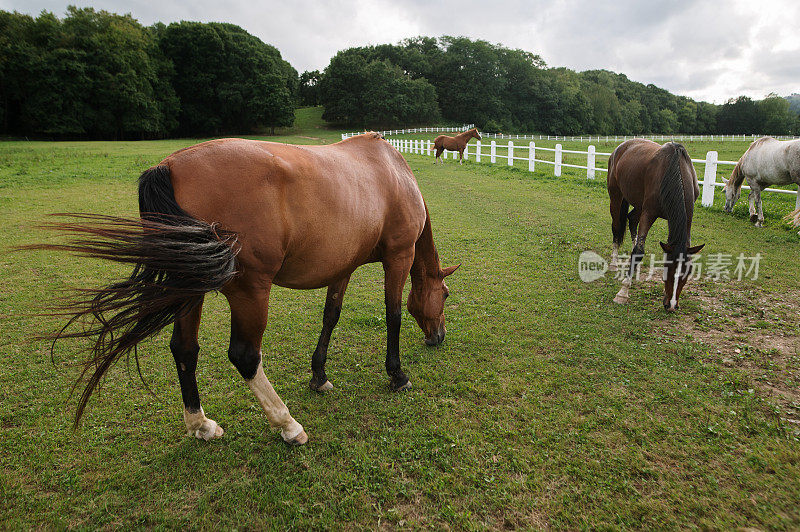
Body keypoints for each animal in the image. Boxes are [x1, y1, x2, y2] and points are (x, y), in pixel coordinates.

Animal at [28, 133, 460, 444]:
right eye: (445, 295)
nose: (438, 337)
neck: (392, 173)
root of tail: (169, 165)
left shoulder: (343, 266)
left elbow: (331, 315)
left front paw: (319, 375)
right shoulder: (398, 257)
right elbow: (392, 315)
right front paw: (397, 374)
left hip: (190, 289)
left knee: (184, 349)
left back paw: (201, 425)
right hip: (250, 291)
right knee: (245, 356)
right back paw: (287, 425)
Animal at [608, 139, 704, 310]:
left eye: (687, 274)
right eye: (668, 270)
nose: (671, 305)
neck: (674, 172)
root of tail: (620, 148)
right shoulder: (649, 213)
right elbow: (638, 251)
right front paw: (623, 292)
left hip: (638, 204)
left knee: (632, 219)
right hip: (616, 196)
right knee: (617, 227)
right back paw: (614, 263)